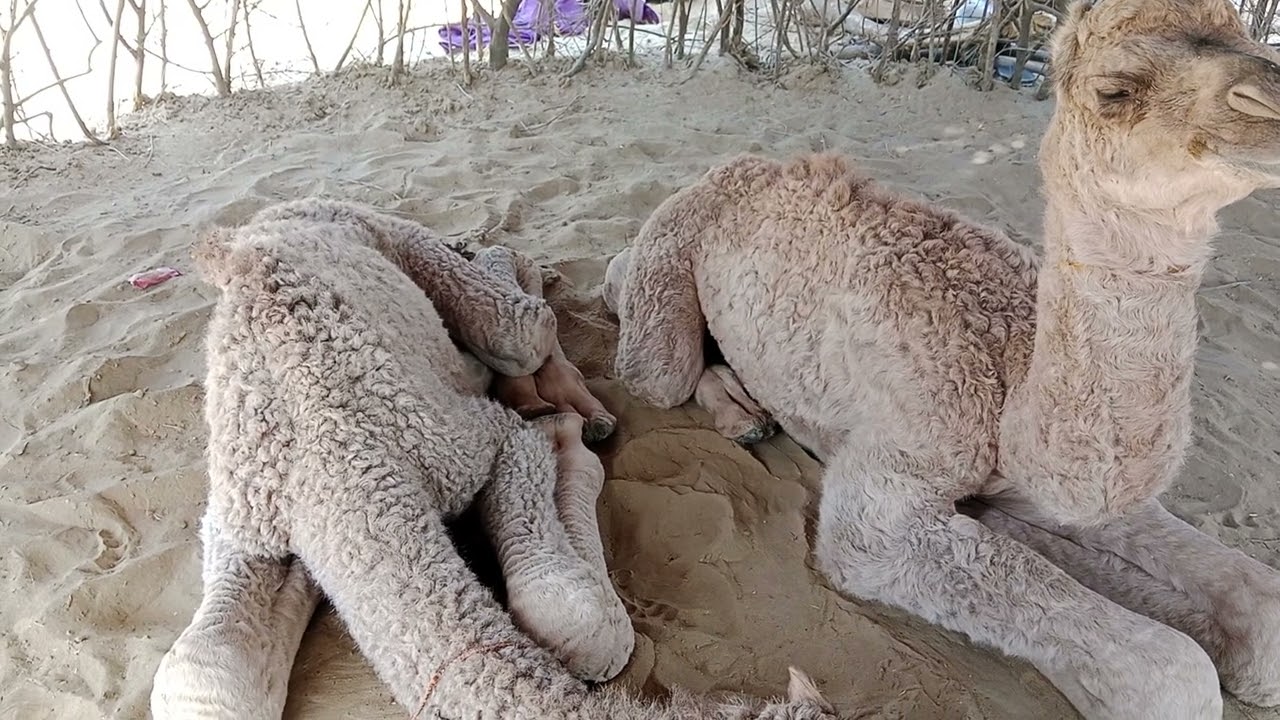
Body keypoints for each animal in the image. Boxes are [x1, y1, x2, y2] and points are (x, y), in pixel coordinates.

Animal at [149, 199, 841, 719]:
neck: (344, 475)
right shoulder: (249, 523)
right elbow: (200, 677)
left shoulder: (478, 442)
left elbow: (570, 615)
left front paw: (569, 437)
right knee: (519, 323)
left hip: (388, 233)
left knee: (522, 318)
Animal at [603, 0, 1280, 717]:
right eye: (1115, 90)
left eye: (1250, 34)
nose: (1273, 104)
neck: (1011, 368)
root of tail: (727, 168)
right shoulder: (890, 482)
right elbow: (1173, 672)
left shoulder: (1029, 482)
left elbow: (1260, 610)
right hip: (673, 250)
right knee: (643, 337)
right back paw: (738, 413)